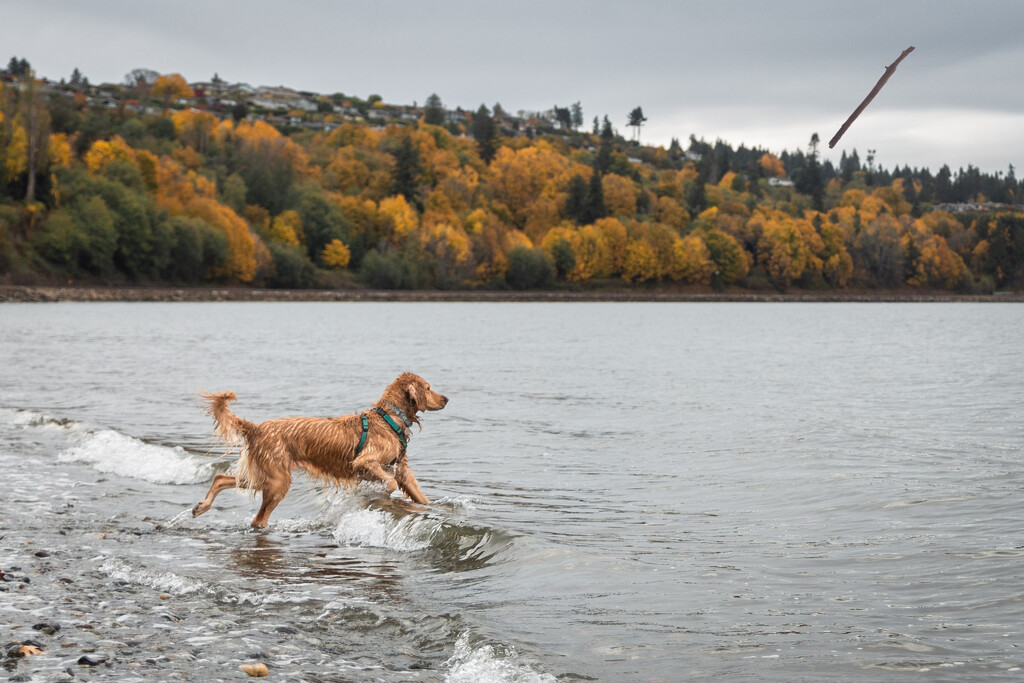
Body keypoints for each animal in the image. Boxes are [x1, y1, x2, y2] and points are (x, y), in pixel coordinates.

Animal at [192, 374, 448, 528]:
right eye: (428, 388)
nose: (446, 398)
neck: (389, 419)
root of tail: (257, 428)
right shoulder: (364, 462)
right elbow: (390, 482)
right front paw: (381, 491)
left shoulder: (402, 470)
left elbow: (421, 496)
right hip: (277, 481)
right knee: (258, 519)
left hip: (263, 475)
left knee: (221, 476)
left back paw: (201, 506)